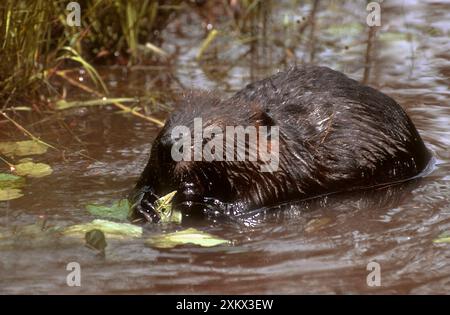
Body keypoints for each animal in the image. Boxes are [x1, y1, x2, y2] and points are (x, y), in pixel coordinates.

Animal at [128, 64, 430, 223]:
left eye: (211, 134)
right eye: (167, 122)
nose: (168, 147)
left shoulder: (286, 166)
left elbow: (262, 195)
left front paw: (205, 201)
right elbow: (140, 187)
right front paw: (148, 204)